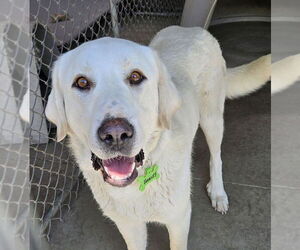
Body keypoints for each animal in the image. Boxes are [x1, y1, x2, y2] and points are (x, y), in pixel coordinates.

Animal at [45, 26, 270, 249]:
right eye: (81, 82)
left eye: (136, 77)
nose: (116, 134)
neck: (136, 184)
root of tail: (194, 29)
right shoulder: (129, 226)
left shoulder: (179, 219)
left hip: (211, 118)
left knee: (216, 156)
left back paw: (217, 191)